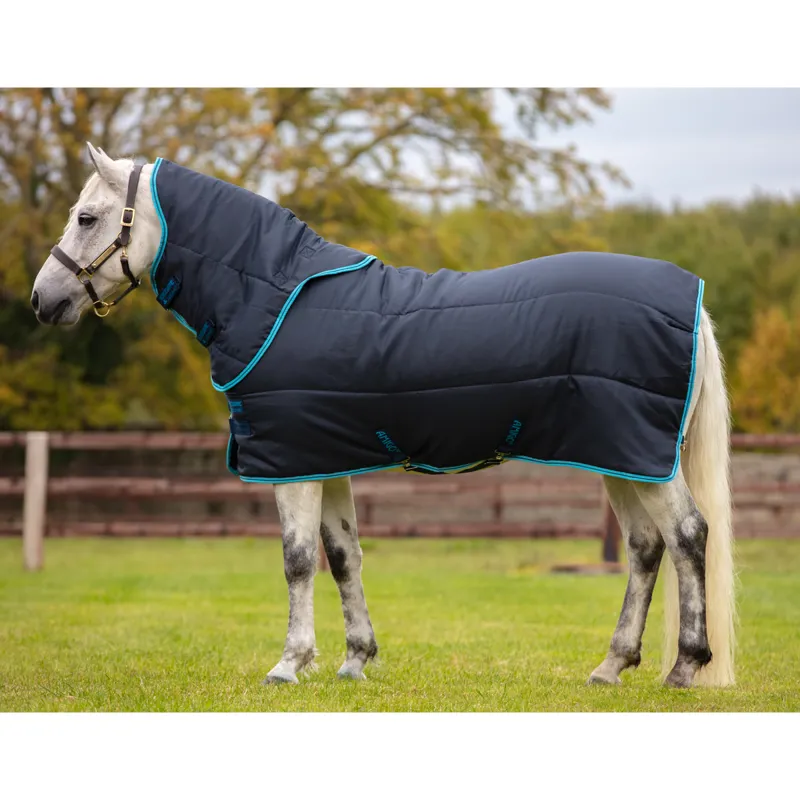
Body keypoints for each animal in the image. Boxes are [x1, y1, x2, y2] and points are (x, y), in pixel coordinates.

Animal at [31, 143, 735, 688]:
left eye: (87, 217)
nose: (43, 300)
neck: (272, 295)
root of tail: (693, 298)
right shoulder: (323, 458)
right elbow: (344, 556)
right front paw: (354, 661)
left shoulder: (291, 464)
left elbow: (297, 560)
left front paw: (289, 664)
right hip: (621, 457)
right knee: (646, 547)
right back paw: (611, 667)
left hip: (638, 456)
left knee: (686, 535)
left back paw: (684, 667)